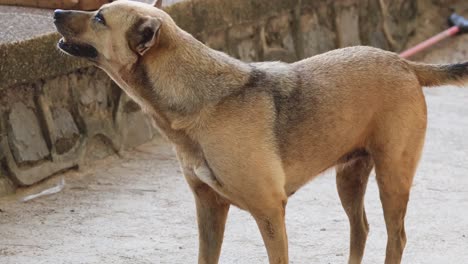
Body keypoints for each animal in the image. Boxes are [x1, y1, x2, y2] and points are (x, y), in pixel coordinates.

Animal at [53, 1, 466, 262]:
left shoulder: (269, 212)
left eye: (100, 18)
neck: (201, 100)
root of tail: (404, 63)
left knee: (396, 237)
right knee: (360, 230)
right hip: (349, 178)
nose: (55, 11)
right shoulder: (209, 208)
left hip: (392, 177)